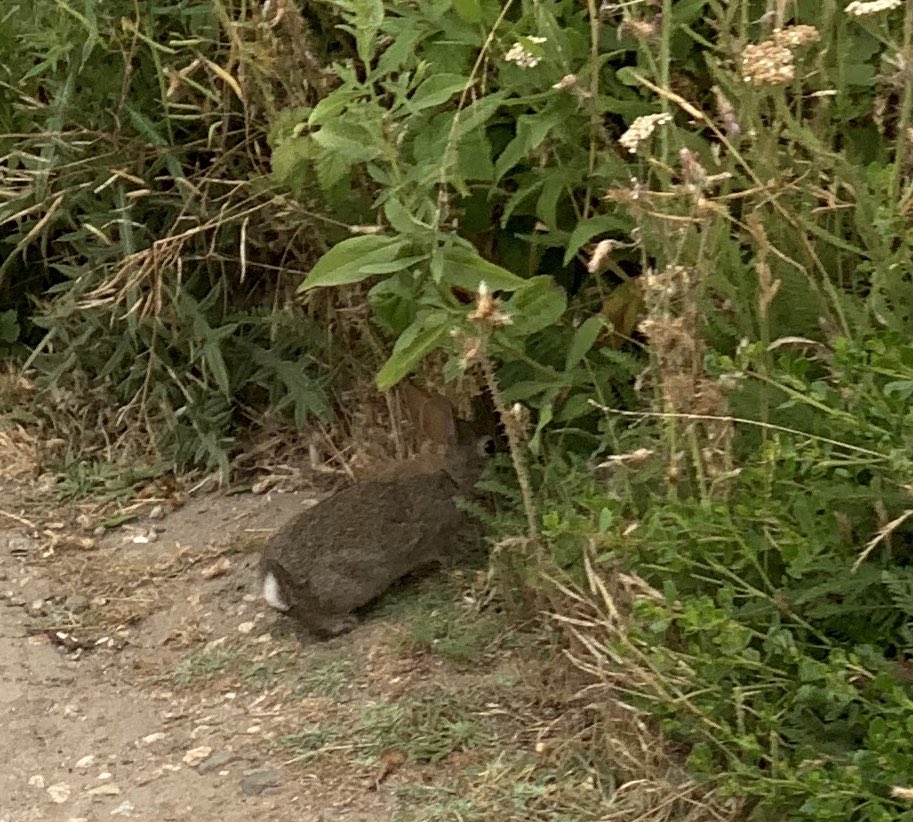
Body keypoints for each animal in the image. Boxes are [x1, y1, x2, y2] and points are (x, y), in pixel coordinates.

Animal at [259, 388, 497, 638]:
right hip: (350, 586)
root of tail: (277, 586)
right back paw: (345, 623)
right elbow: (447, 553)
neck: (449, 475)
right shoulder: (440, 534)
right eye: (489, 447)